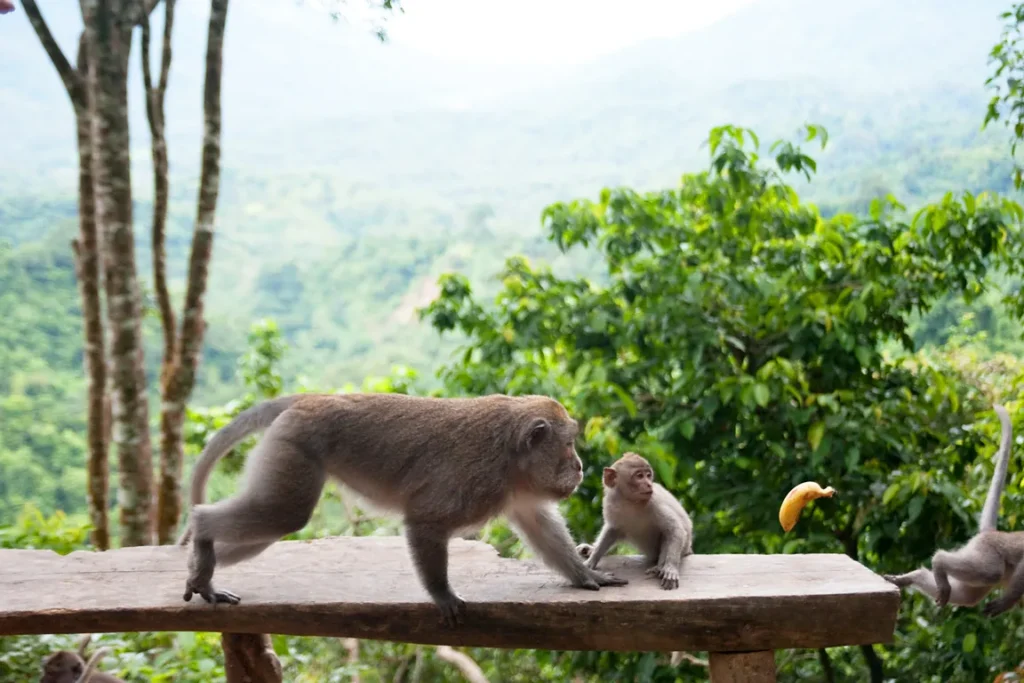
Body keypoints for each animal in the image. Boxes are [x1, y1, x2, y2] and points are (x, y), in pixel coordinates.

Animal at [176, 392, 629, 626]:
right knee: (284, 514)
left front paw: (585, 574)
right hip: (294, 446)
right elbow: (425, 521)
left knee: (275, 522)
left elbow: (539, 523)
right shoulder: (476, 482)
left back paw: (202, 568)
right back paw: (202, 532)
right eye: (568, 444)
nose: (580, 466)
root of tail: (313, 398)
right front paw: (443, 594)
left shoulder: (516, 488)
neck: (509, 457)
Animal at [575, 452, 693, 589]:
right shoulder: (610, 504)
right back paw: (589, 549)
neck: (630, 502)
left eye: (648, 475)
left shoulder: (654, 502)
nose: (649, 484)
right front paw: (591, 561)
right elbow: (612, 531)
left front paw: (670, 568)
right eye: (639, 476)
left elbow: (675, 531)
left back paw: (659, 567)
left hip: (684, 548)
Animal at [883, 403, 1022, 617]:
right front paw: (1007, 601)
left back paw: (913, 577)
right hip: (988, 553)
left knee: (967, 595)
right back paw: (939, 562)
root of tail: (992, 533)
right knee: (990, 573)